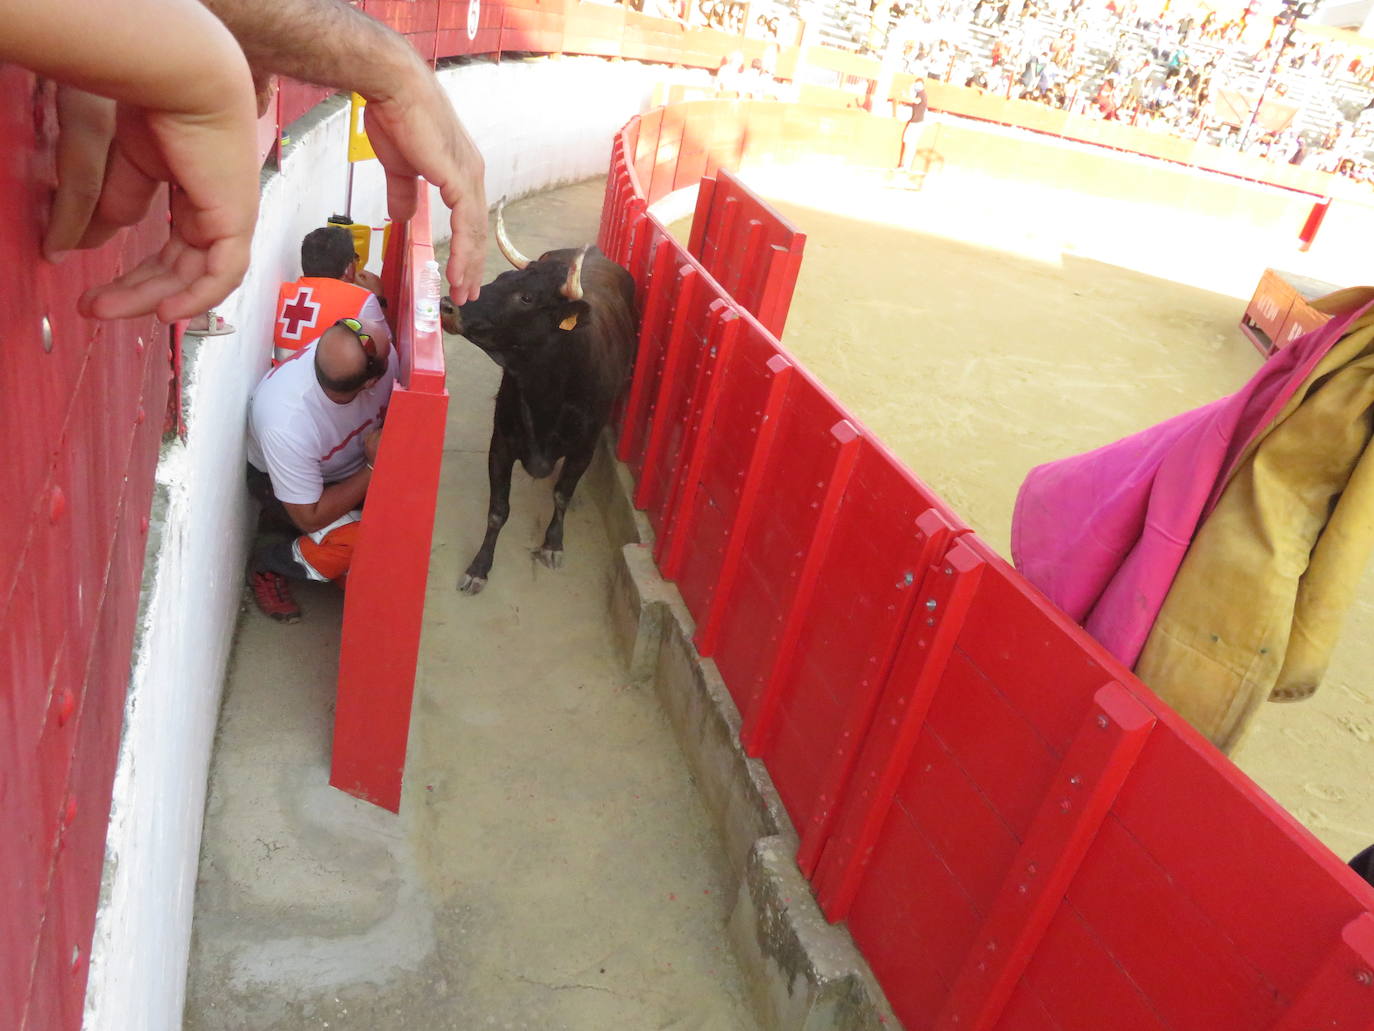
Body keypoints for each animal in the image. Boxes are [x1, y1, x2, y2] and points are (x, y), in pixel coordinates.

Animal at [436, 229, 634, 593]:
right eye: (500, 278)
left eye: (526, 298)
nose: (448, 306)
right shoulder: (501, 443)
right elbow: (498, 510)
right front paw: (479, 567)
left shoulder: (583, 448)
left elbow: (561, 495)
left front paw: (553, 544)